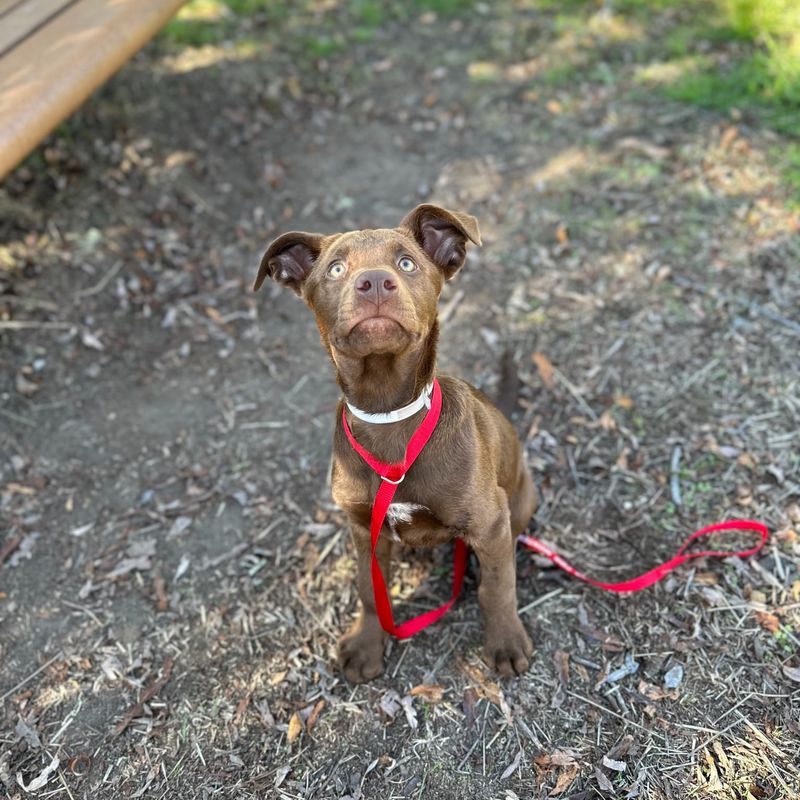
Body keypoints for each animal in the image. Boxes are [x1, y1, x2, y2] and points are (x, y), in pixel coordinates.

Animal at [256, 205, 536, 680]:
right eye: (335, 269)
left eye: (406, 263)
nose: (373, 282)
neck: (389, 415)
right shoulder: (361, 527)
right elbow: (370, 590)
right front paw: (367, 644)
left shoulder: (490, 522)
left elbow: (497, 587)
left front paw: (505, 642)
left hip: (520, 501)